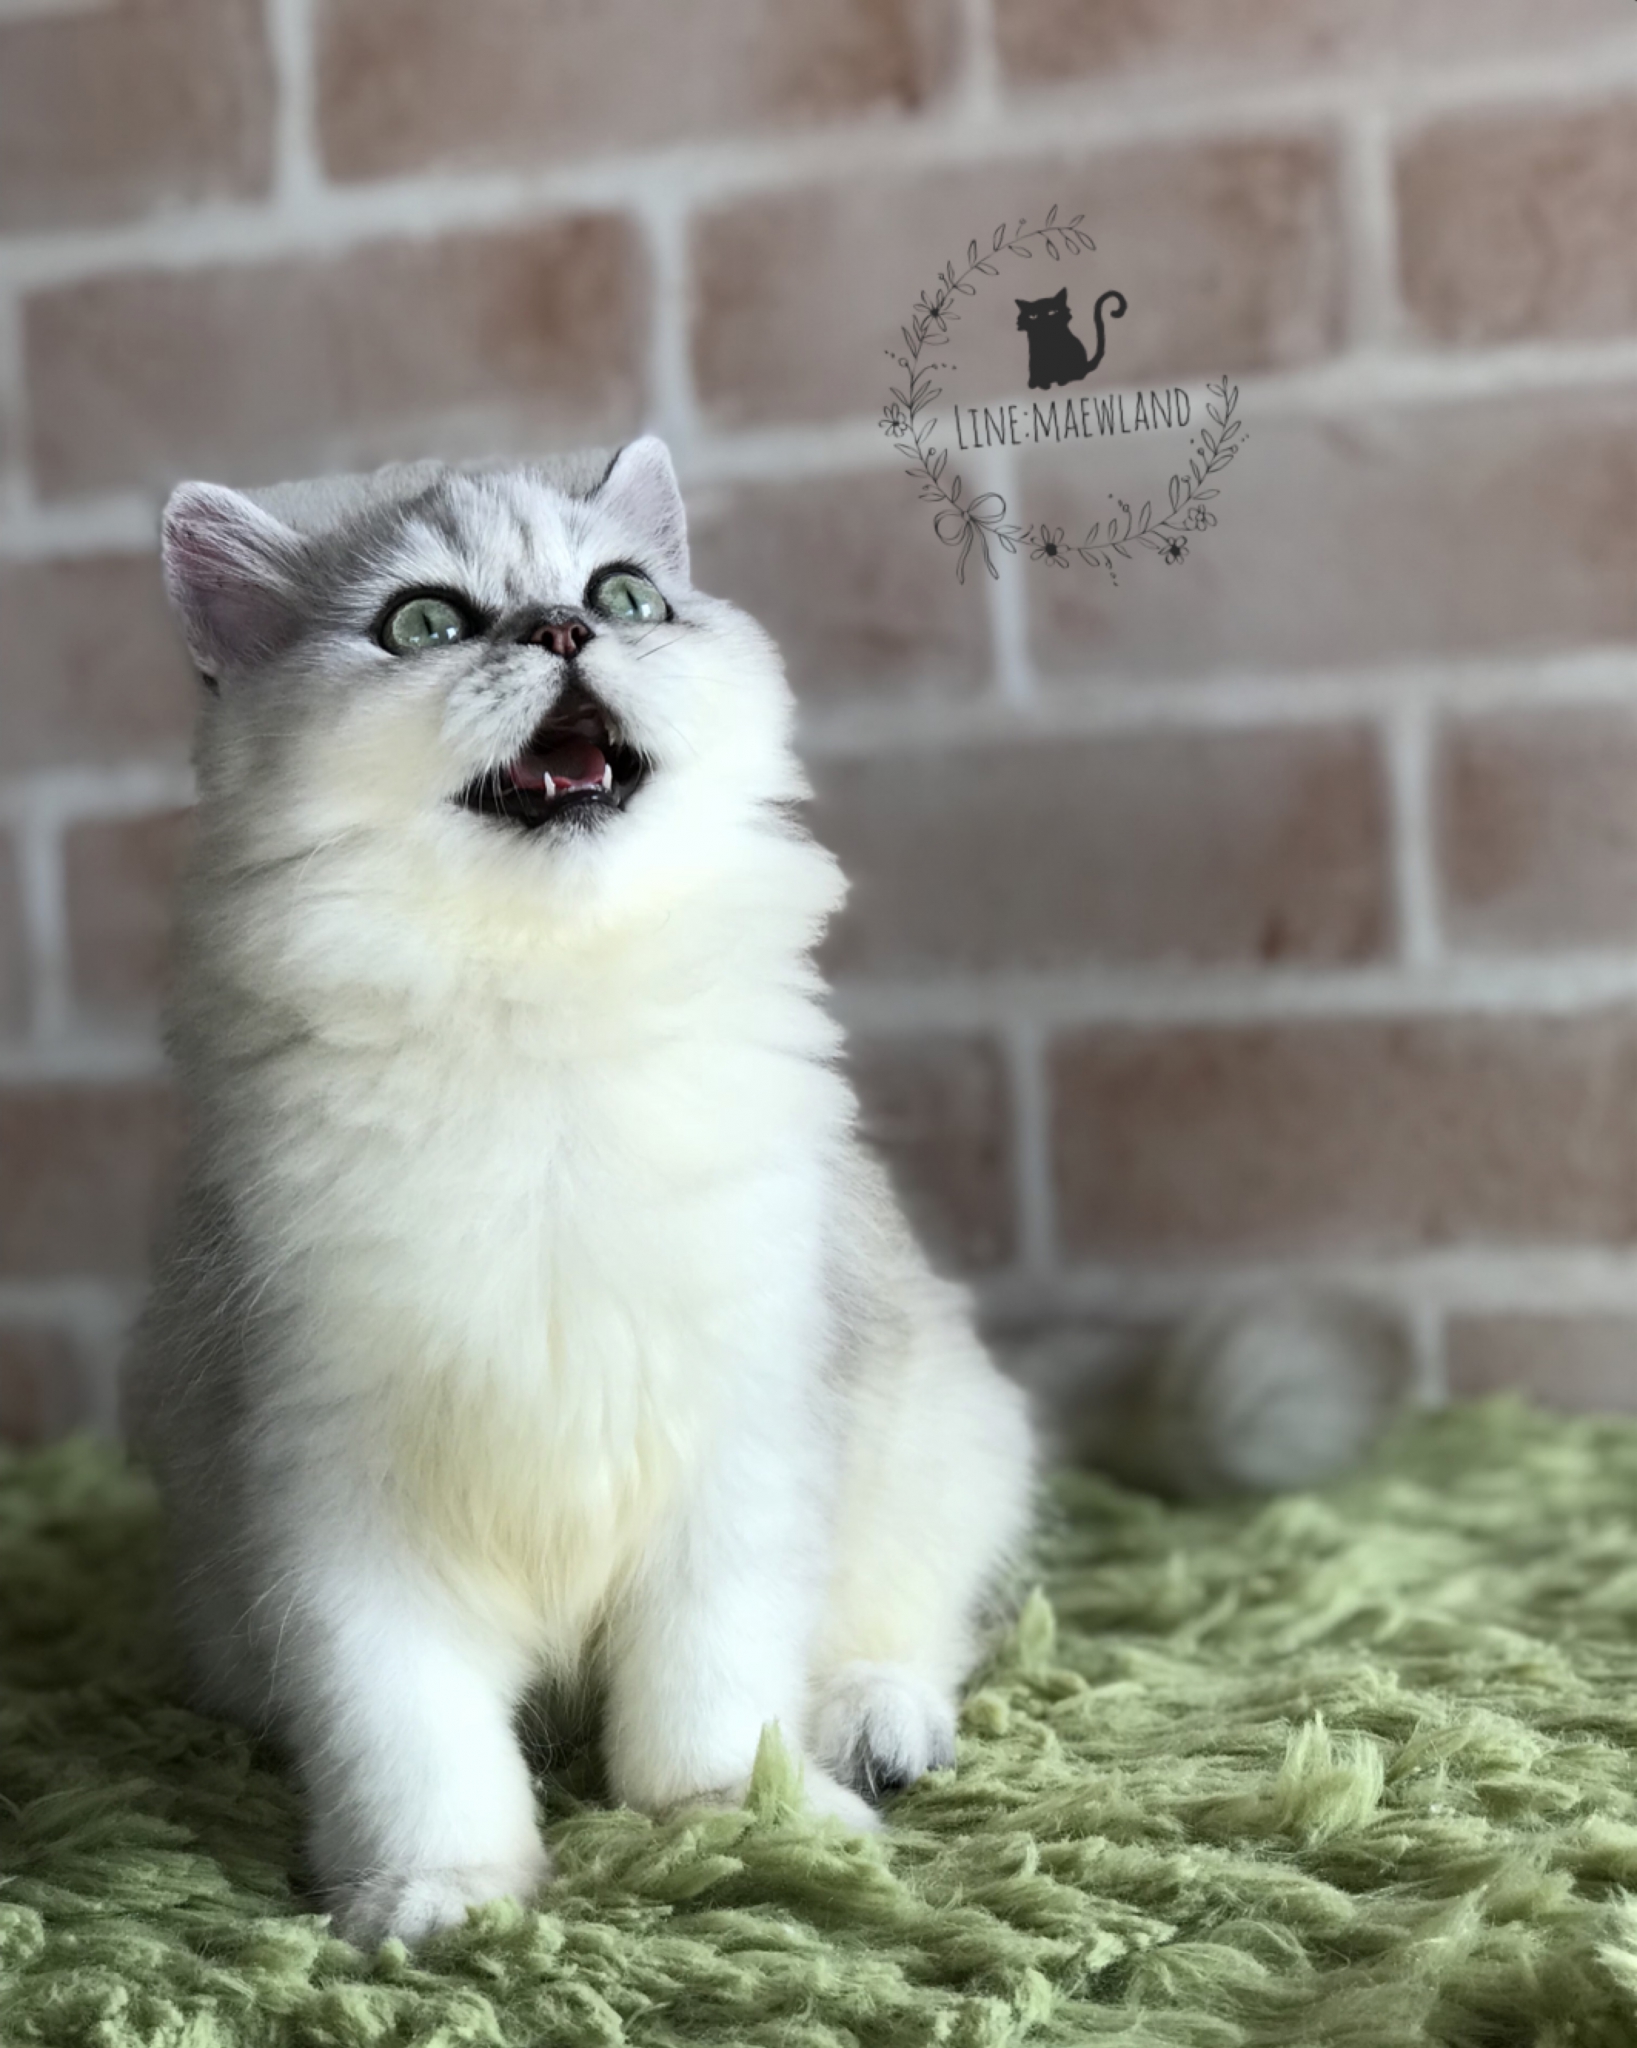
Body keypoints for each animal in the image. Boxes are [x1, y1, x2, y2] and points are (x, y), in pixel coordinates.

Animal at [123, 439, 1039, 1947]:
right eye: (423, 623)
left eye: (624, 597)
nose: (561, 631)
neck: (540, 1010)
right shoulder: (336, 1499)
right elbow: (410, 1739)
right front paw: (441, 1899)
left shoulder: (739, 1445)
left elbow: (712, 1690)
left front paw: (730, 1824)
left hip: (948, 1436)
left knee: (910, 1629)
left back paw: (872, 1735)